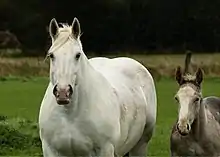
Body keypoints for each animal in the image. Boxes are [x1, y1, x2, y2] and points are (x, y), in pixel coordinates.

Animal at [38, 17, 157, 156]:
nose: (63, 92)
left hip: (141, 143)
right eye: (51, 55)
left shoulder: (105, 149)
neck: (69, 115)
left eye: (78, 55)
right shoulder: (50, 150)